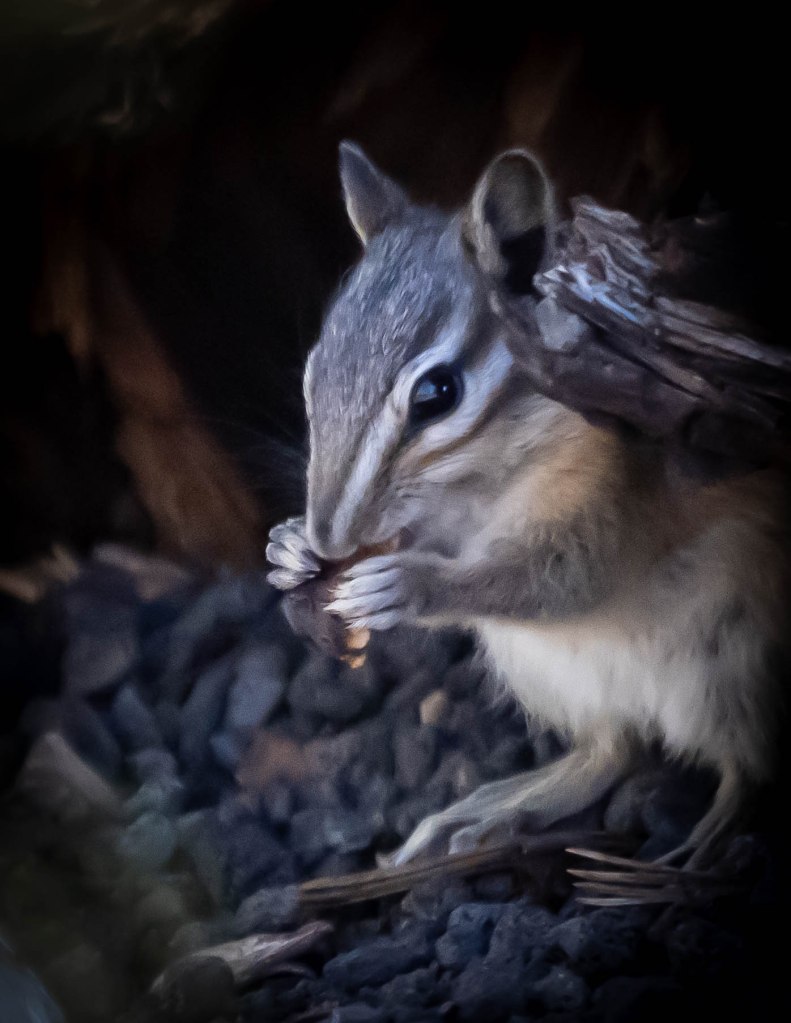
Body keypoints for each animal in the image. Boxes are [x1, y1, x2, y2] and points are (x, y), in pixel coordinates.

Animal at [267, 141, 789, 868]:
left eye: (437, 393)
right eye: (315, 371)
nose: (329, 538)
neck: (482, 485)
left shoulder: (611, 498)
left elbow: (559, 578)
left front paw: (409, 583)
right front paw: (287, 547)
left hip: (736, 663)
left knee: (744, 764)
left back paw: (705, 841)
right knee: (613, 749)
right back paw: (483, 815)